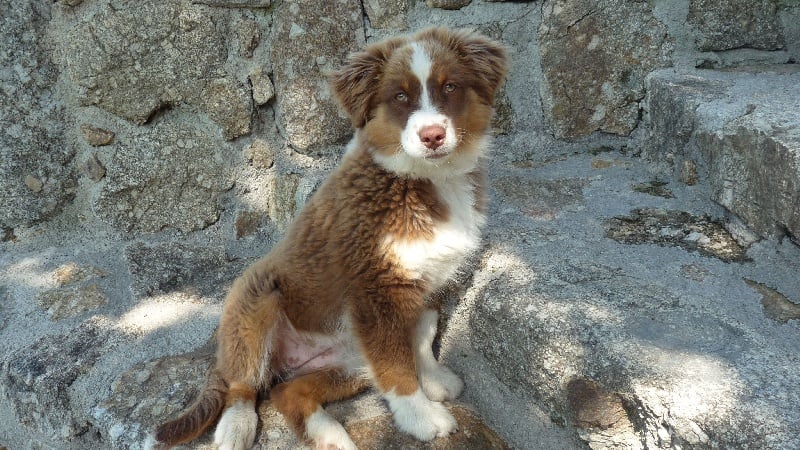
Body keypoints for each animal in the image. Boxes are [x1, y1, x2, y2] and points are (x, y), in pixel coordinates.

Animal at [148, 27, 510, 450]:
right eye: (400, 97)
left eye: (450, 87)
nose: (433, 136)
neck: (426, 180)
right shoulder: (375, 294)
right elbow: (397, 369)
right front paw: (421, 417)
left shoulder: (427, 284)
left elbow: (420, 340)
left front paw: (433, 379)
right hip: (255, 301)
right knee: (244, 385)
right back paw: (236, 427)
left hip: (350, 361)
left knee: (286, 392)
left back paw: (330, 435)